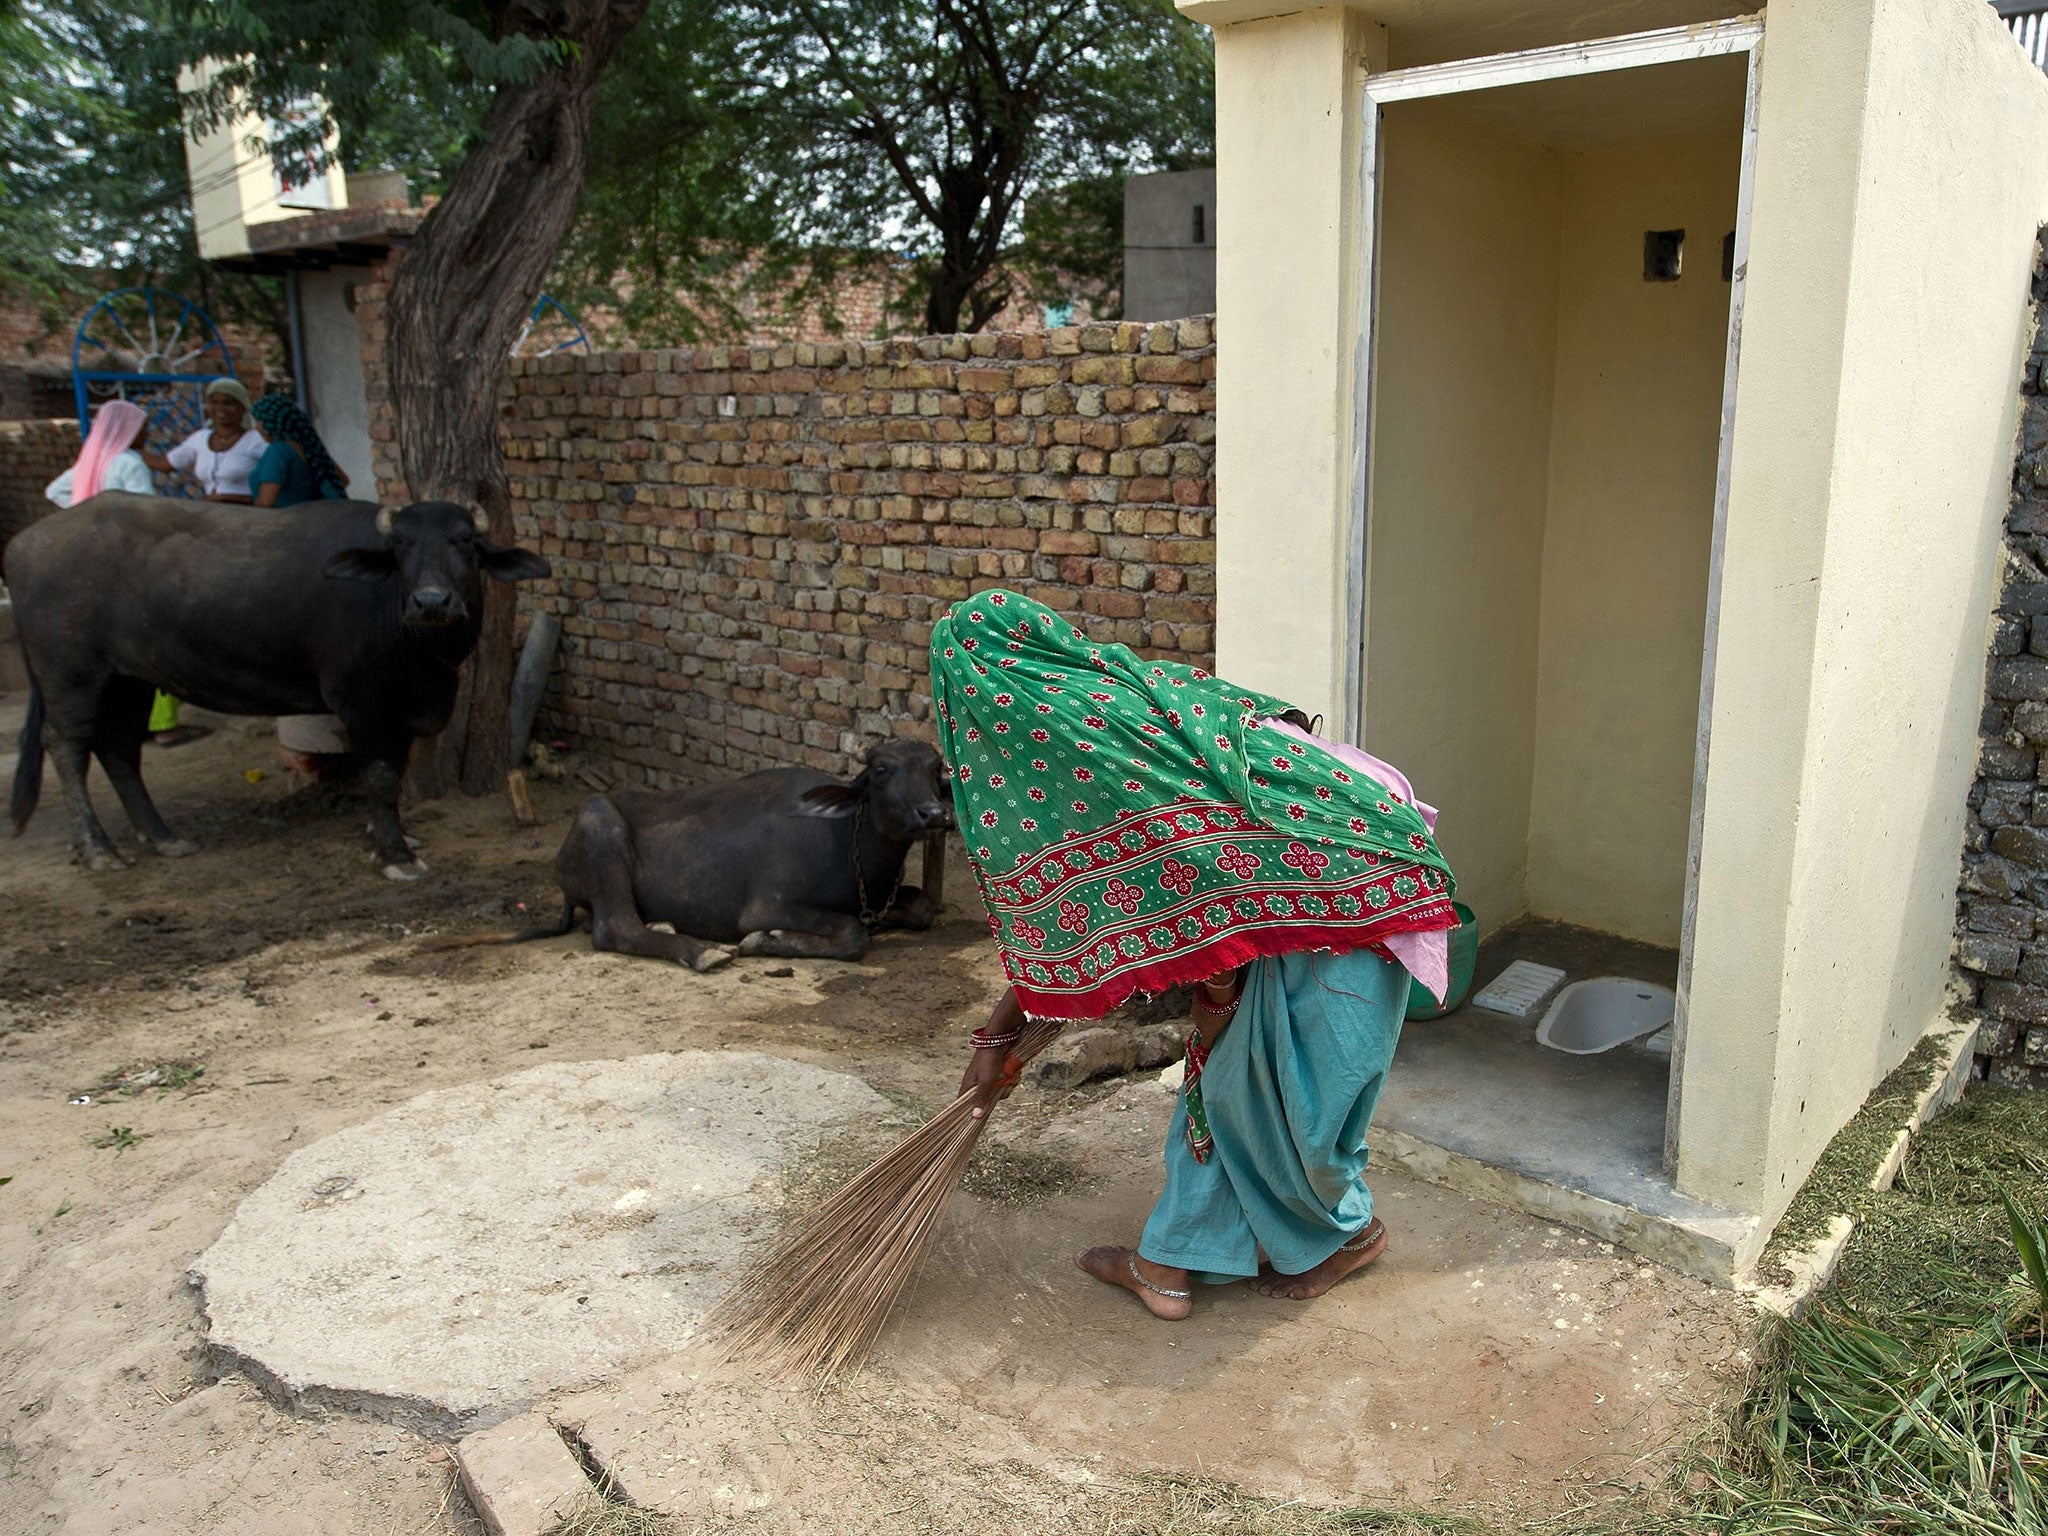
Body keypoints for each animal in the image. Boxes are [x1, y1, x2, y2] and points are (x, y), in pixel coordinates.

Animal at [4, 493, 548, 876]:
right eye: (400, 545)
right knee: (66, 745)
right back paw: (98, 848)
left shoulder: (399, 706)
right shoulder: (359, 700)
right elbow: (379, 774)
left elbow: (393, 769)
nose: (432, 601)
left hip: (130, 679)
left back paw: (161, 837)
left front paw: (387, 836)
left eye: (465, 541)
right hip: (71, 676)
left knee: (118, 749)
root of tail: (21, 545)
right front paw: (395, 854)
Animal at [507, 741, 962, 966]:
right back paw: (701, 952)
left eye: (935, 767)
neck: (847, 845)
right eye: (882, 770)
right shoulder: (767, 905)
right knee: (613, 928)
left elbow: (921, 906)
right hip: (600, 823)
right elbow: (852, 933)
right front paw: (766, 940)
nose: (933, 813)